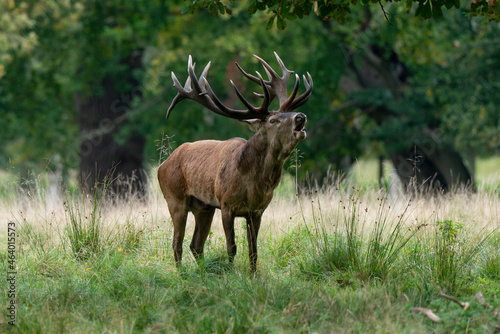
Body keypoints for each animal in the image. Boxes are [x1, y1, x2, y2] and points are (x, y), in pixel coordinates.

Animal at [157, 52, 312, 272]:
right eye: (273, 120)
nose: (301, 116)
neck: (253, 183)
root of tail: (161, 166)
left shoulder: (257, 210)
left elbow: (253, 250)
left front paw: (253, 275)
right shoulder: (226, 205)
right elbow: (231, 247)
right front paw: (231, 275)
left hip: (204, 207)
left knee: (195, 244)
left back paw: (202, 273)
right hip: (175, 199)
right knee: (177, 243)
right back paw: (180, 275)